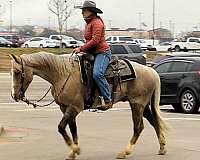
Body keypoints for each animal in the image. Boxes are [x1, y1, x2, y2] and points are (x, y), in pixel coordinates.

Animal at [9, 52, 166, 159]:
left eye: (17, 72)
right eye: (11, 73)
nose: (14, 95)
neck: (62, 74)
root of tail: (151, 71)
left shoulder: (74, 107)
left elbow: (61, 127)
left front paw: (74, 150)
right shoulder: (65, 108)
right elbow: (73, 129)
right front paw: (74, 151)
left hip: (137, 104)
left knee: (138, 127)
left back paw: (125, 152)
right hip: (143, 105)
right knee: (154, 122)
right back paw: (162, 148)